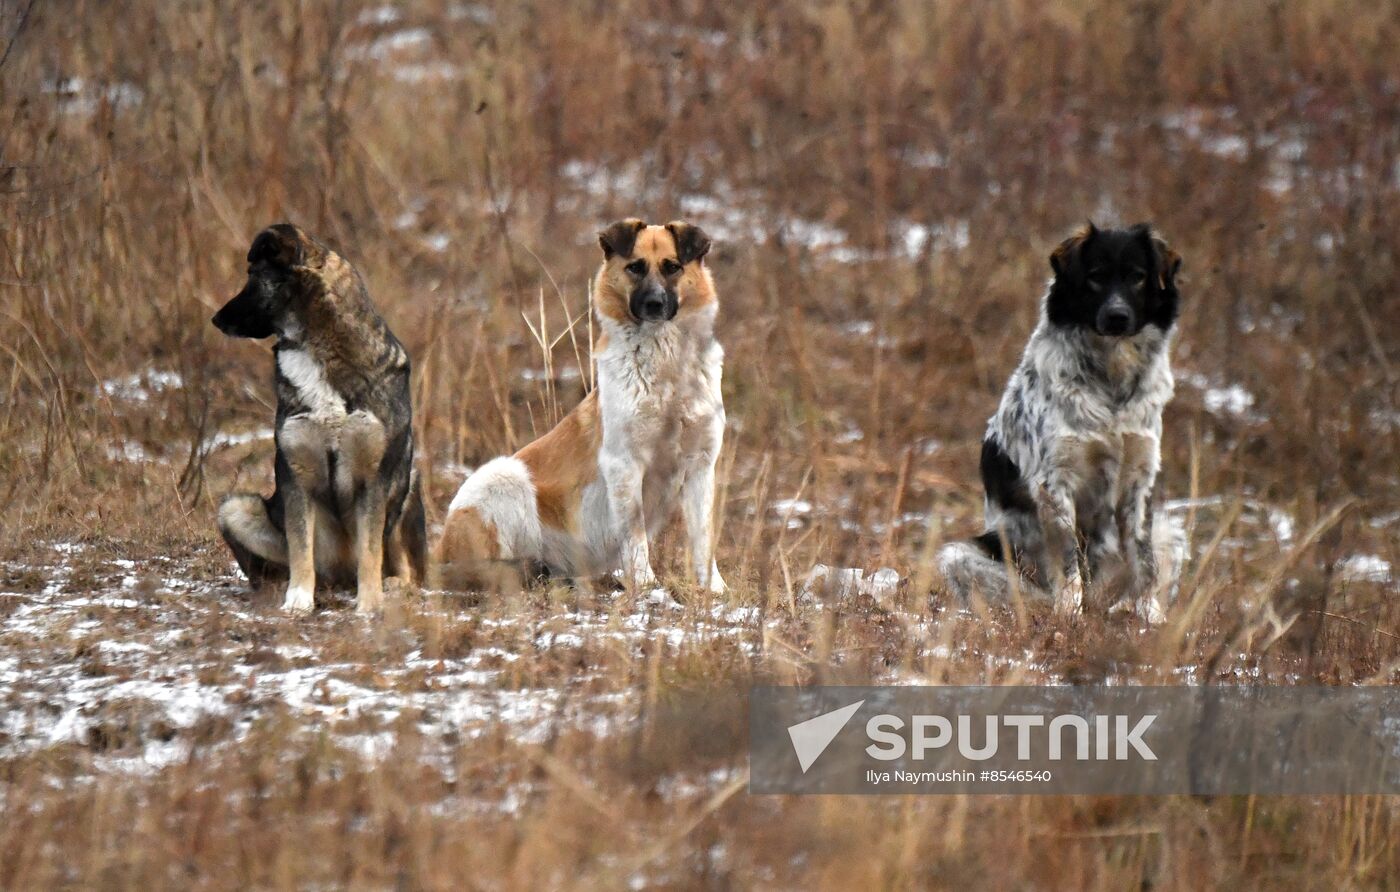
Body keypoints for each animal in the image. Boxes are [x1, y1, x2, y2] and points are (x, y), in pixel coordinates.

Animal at [212, 222, 425, 613]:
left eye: (252, 277)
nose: (215, 320)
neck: (315, 348)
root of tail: (341, 576)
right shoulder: (295, 474)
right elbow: (300, 547)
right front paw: (297, 600)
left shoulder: (373, 478)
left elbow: (370, 552)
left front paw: (369, 605)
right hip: (235, 508)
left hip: (409, 484)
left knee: (405, 570)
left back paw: (393, 587)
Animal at [436, 217, 728, 590]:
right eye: (635, 267)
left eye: (672, 267)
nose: (654, 304)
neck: (666, 369)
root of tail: (438, 554)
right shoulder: (624, 463)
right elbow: (635, 535)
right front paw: (646, 584)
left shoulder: (700, 465)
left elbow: (703, 537)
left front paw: (714, 589)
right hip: (503, 475)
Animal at [935, 221, 1187, 618]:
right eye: (1096, 277)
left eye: (1138, 277)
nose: (1117, 317)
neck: (1111, 379)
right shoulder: (1054, 483)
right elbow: (1069, 563)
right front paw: (1070, 615)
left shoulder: (1139, 478)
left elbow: (1144, 562)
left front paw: (1150, 617)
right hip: (960, 554)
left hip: (1171, 531)